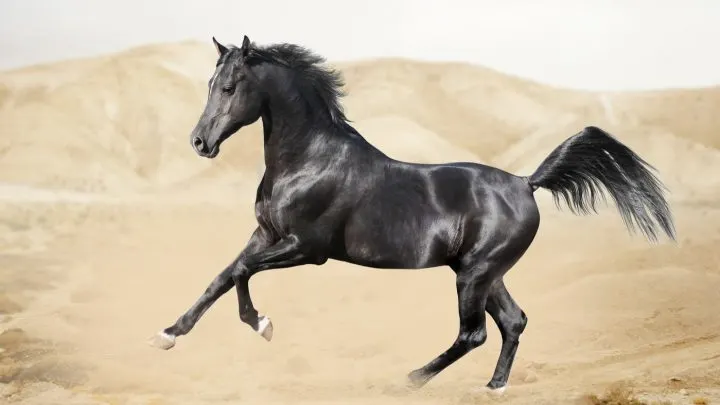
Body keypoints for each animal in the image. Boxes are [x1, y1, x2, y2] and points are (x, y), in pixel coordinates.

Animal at [149, 35, 676, 393]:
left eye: (230, 86)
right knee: (514, 321)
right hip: (485, 272)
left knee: (474, 333)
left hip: (474, 274)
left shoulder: (306, 248)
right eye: (211, 84)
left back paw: (408, 379)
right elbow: (222, 276)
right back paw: (494, 387)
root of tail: (527, 183)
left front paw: (262, 325)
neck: (309, 159)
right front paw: (168, 335)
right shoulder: (264, 234)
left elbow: (241, 273)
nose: (200, 142)